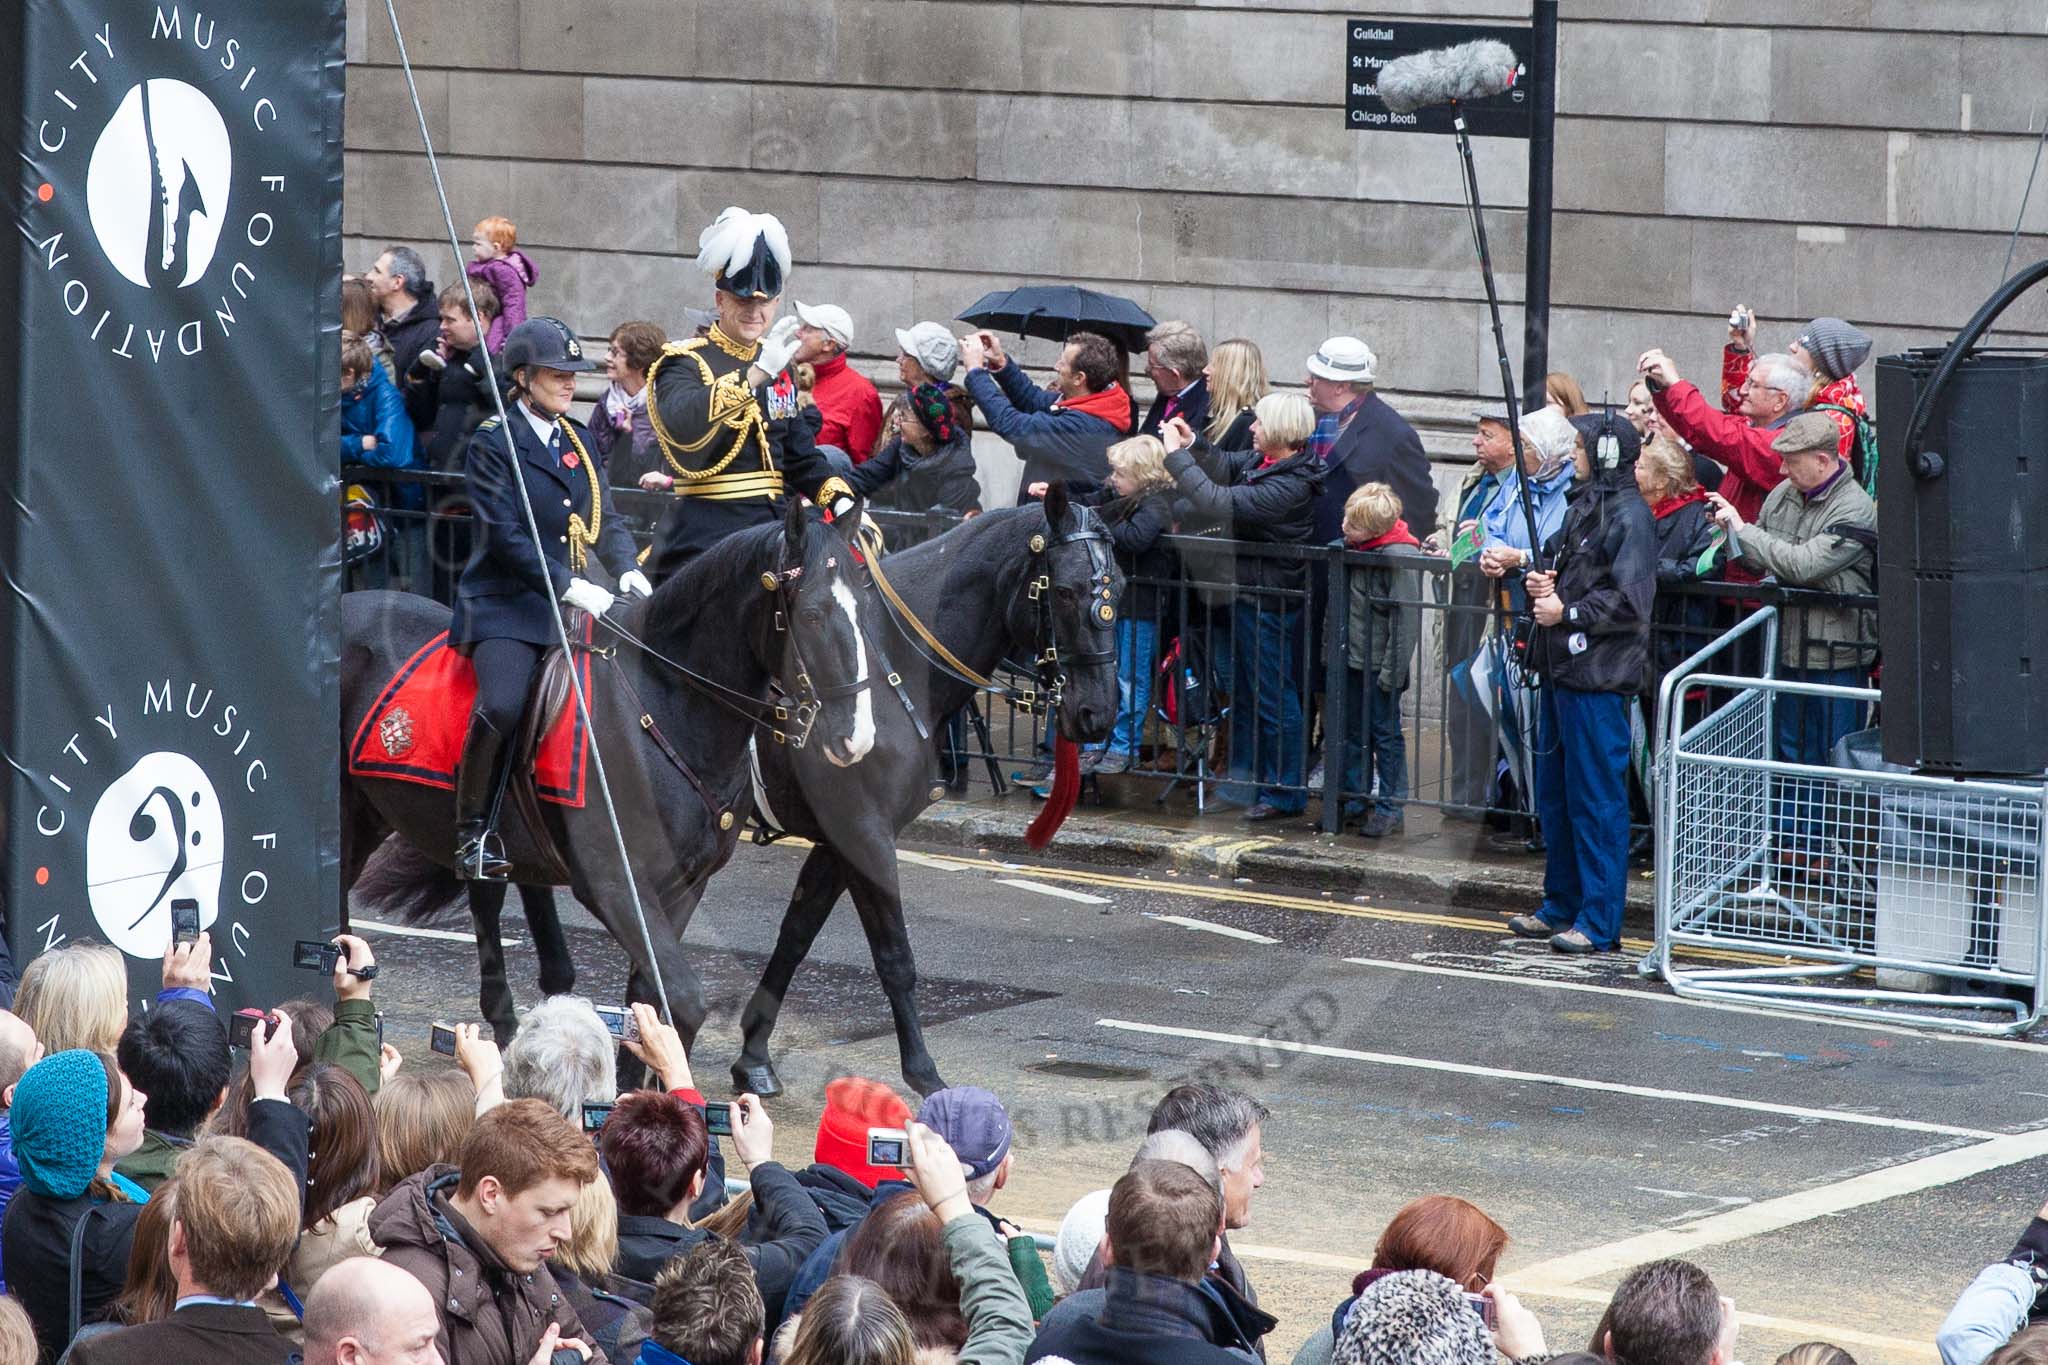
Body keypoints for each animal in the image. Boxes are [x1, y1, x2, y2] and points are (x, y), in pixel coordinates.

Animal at [342, 497, 880, 1039]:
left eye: (865, 608)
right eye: (810, 614)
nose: (856, 736)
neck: (668, 704)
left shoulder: (684, 884)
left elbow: (648, 1001)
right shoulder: (615, 883)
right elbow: (681, 1000)